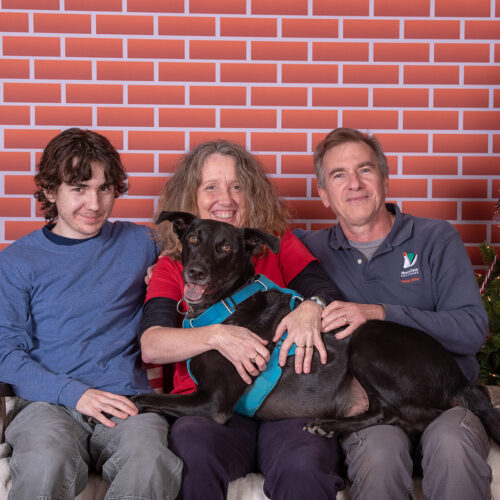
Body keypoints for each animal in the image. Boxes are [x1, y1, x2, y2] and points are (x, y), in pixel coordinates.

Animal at [133, 213, 500, 444]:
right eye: (193, 239)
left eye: (225, 248)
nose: (194, 272)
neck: (227, 302)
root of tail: (461, 380)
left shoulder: (212, 402)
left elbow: (143, 398)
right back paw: (331, 426)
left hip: (367, 341)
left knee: (396, 415)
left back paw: (330, 424)